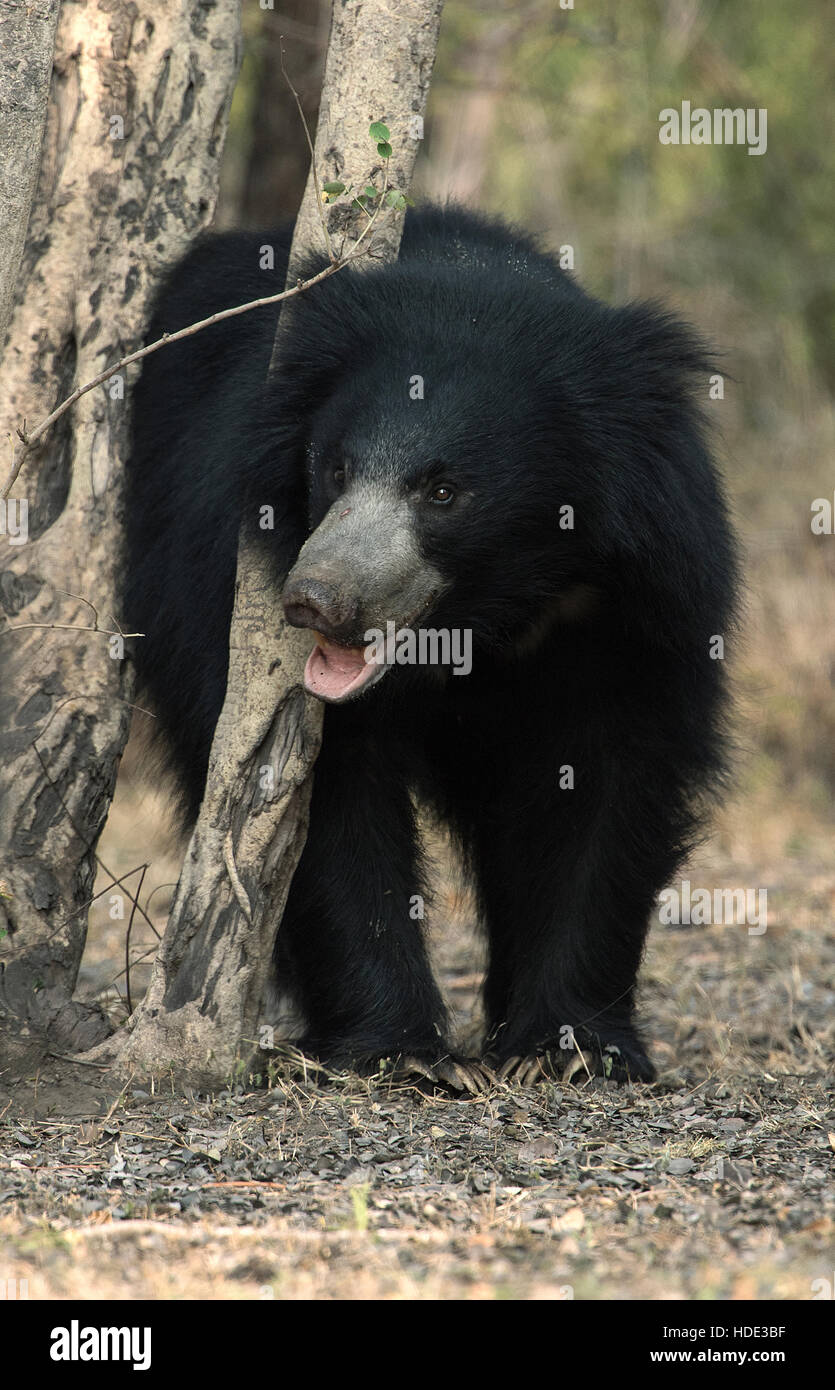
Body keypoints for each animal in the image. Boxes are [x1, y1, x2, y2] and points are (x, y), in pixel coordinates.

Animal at [125, 202, 733, 1084]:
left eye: (443, 492)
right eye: (334, 468)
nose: (315, 600)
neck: (484, 617)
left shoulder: (638, 603)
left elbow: (606, 783)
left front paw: (571, 1051)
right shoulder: (222, 567)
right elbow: (320, 801)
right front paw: (402, 1052)